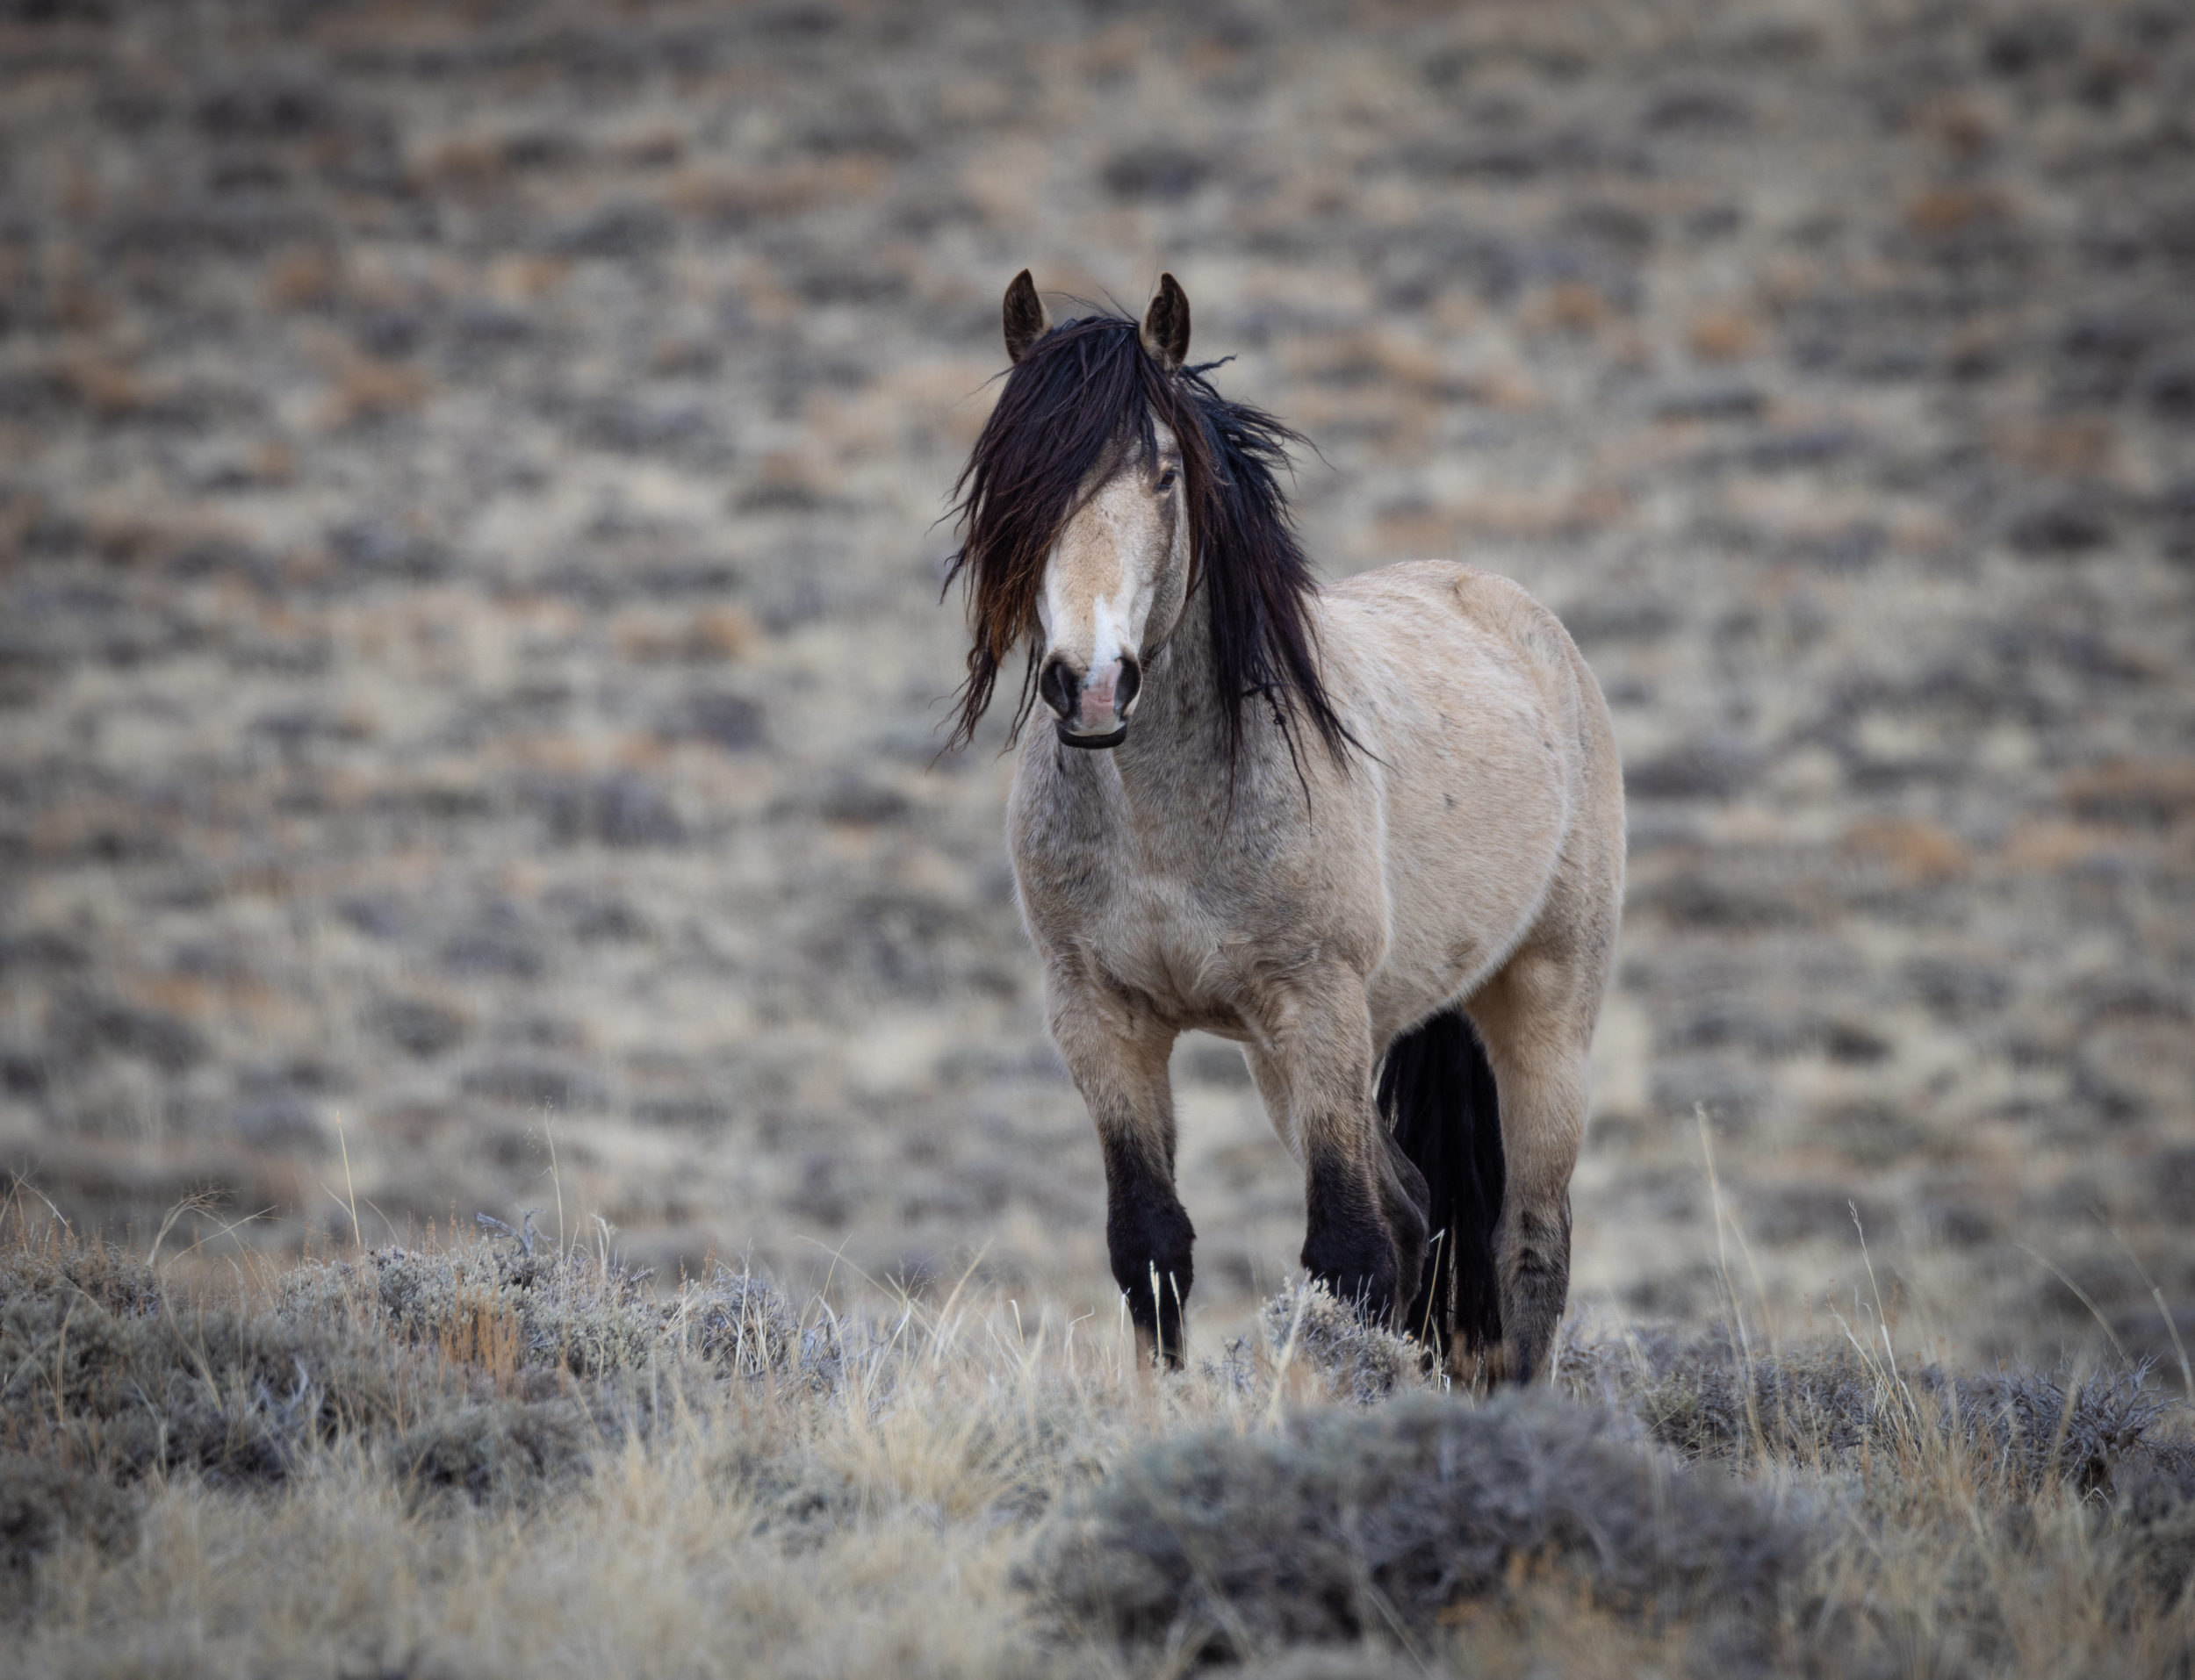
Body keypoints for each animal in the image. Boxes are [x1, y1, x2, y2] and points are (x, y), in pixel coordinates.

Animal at [943, 271, 1625, 1383]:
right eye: (1015, 481)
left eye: (1163, 474)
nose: (1091, 685)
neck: (1165, 817)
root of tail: (1519, 616)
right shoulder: (1102, 1021)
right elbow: (1150, 1247)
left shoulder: (1314, 1005)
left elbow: (1343, 1252)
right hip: (1300, 1055)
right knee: (1418, 1211)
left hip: (1538, 1007)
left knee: (1528, 1244)